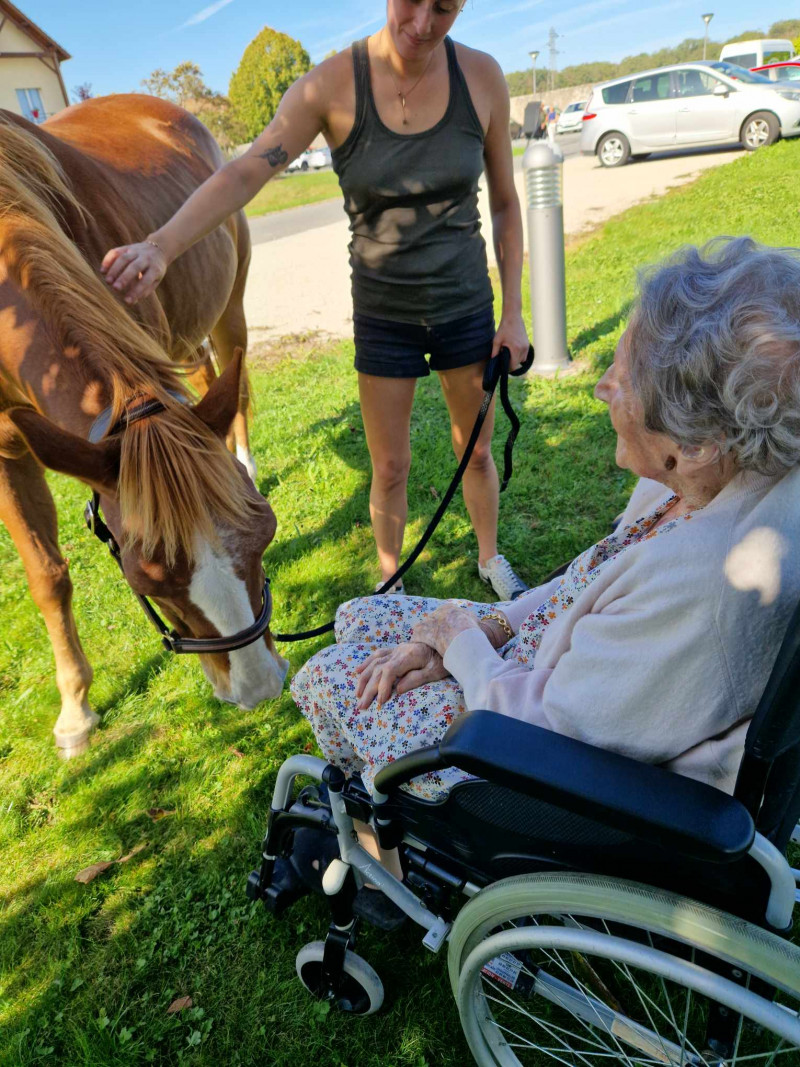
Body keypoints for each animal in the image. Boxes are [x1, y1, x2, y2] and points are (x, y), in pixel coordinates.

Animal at [0, 98, 288, 751]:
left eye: (265, 532)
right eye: (146, 581)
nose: (258, 685)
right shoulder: (6, 452)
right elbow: (47, 576)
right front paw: (75, 708)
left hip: (228, 310)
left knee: (229, 388)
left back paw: (244, 458)